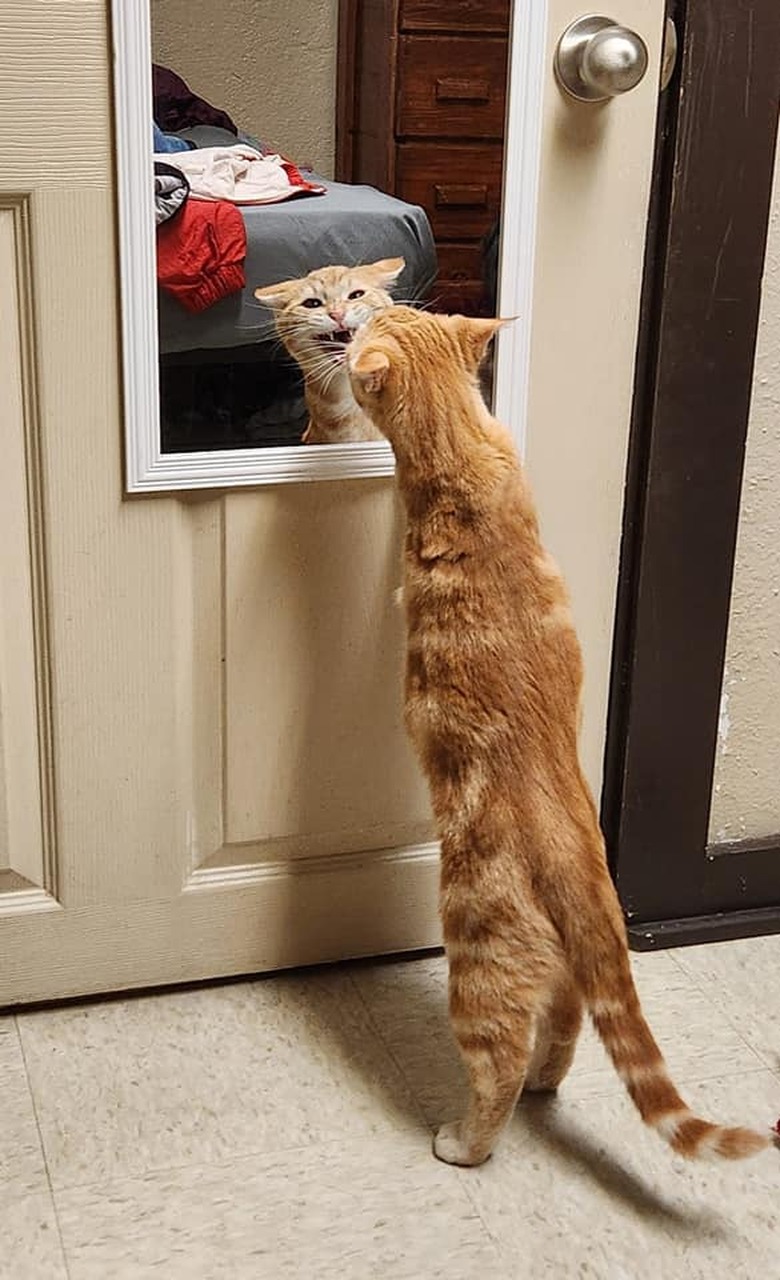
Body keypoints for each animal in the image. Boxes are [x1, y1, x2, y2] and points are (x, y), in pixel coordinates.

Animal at [345, 307, 773, 1172]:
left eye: (375, 318)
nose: (355, 316)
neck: (464, 446)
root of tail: (584, 869)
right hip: (566, 983)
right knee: (567, 1032)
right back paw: (548, 1085)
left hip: (479, 963)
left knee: (500, 1064)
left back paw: (464, 1141)